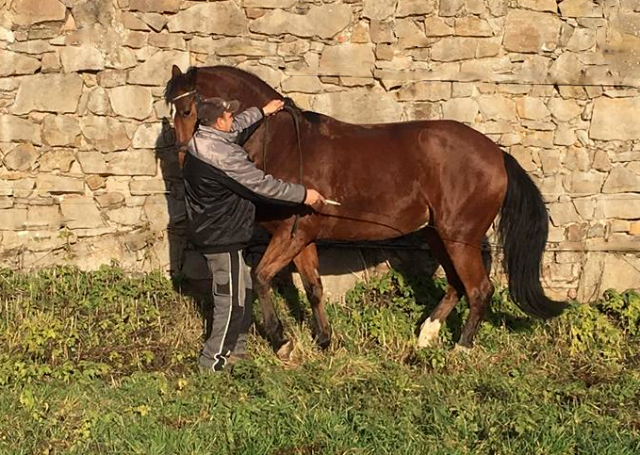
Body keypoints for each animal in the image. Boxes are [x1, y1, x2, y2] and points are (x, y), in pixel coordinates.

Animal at [165, 64, 564, 356]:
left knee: (479, 289)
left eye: (186, 109)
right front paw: (324, 340)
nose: (184, 159)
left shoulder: (291, 235)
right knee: (456, 284)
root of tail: (496, 154)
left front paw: (282, 342)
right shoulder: (302, 238)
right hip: (437, 235)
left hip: (459, 238)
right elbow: (314, 287)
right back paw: (426, 336)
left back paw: (460, 350)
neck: (284, 144)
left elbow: (261, 278)